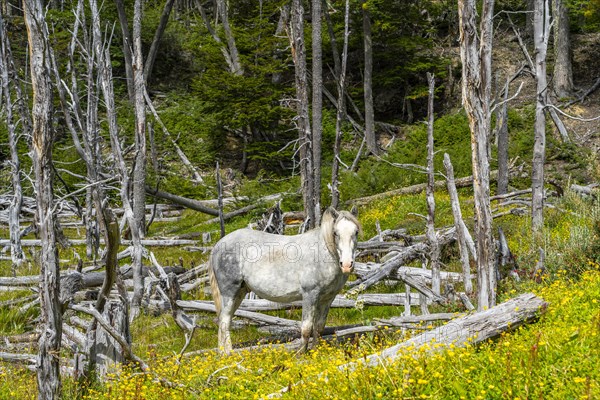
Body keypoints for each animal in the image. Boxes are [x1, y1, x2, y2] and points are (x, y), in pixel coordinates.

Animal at [211, 208, 360, 352]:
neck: (324, 253)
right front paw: (301, 354)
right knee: (224, 322)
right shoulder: (310, 295)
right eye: (335, 233)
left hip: (240, 293)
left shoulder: (327, 299)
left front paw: (315, 352)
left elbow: (318, 327)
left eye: (356, 232)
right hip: (230, 293)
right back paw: (228, 355)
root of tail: (218, 245)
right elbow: (306, 328)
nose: (347, 265)